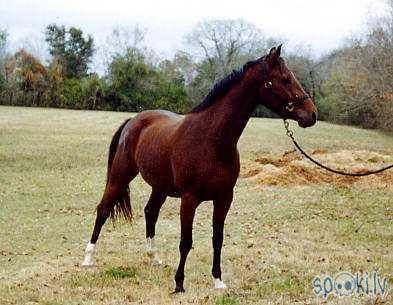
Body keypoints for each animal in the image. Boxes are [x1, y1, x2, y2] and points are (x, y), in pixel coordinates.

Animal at [82, 45, 316, 292]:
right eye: (285, 79)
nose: (311, 114)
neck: (212, 139)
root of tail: (133, 120)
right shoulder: (189, 199)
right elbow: (186, 242)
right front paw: (179, 284)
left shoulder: (224, 199)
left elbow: (217, 239)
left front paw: (218, 280)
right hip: (120, 176)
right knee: (103, 209)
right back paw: (88, 258)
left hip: (160, 187)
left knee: (150, 212)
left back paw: (153, 257)